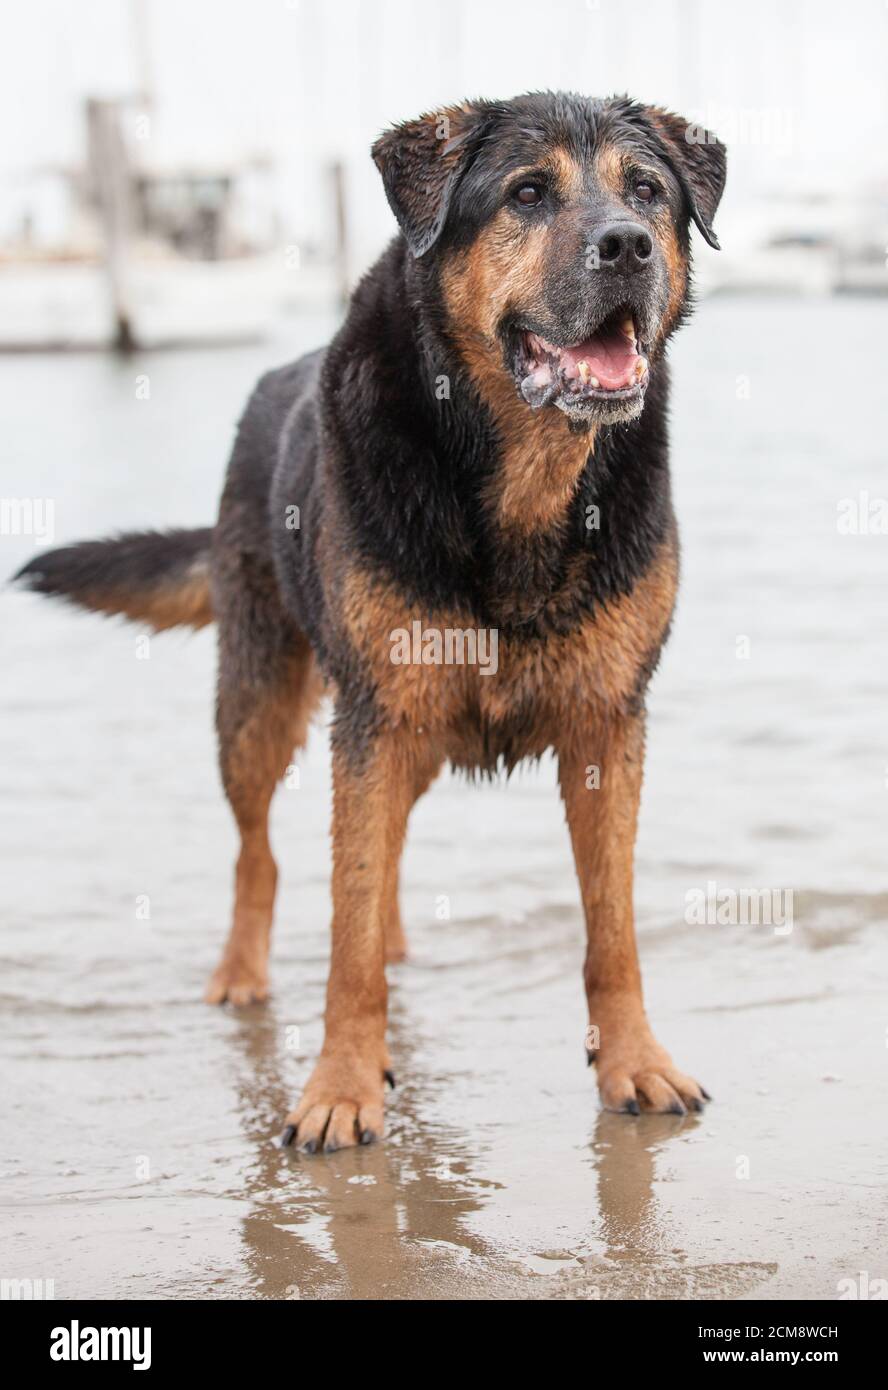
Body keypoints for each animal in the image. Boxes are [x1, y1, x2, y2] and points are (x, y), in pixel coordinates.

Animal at [19, 89, 728, 1150]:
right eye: (527, 193)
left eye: (647, 191)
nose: (628, 246)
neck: (519, 480)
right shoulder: (376, 718)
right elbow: (343, 927)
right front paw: (341, 1087)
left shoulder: (609, 722)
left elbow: (612, 924)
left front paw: (634, 1061)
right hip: (262, 704)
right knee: (262, 852)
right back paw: (242, 974)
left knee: (379, 856)